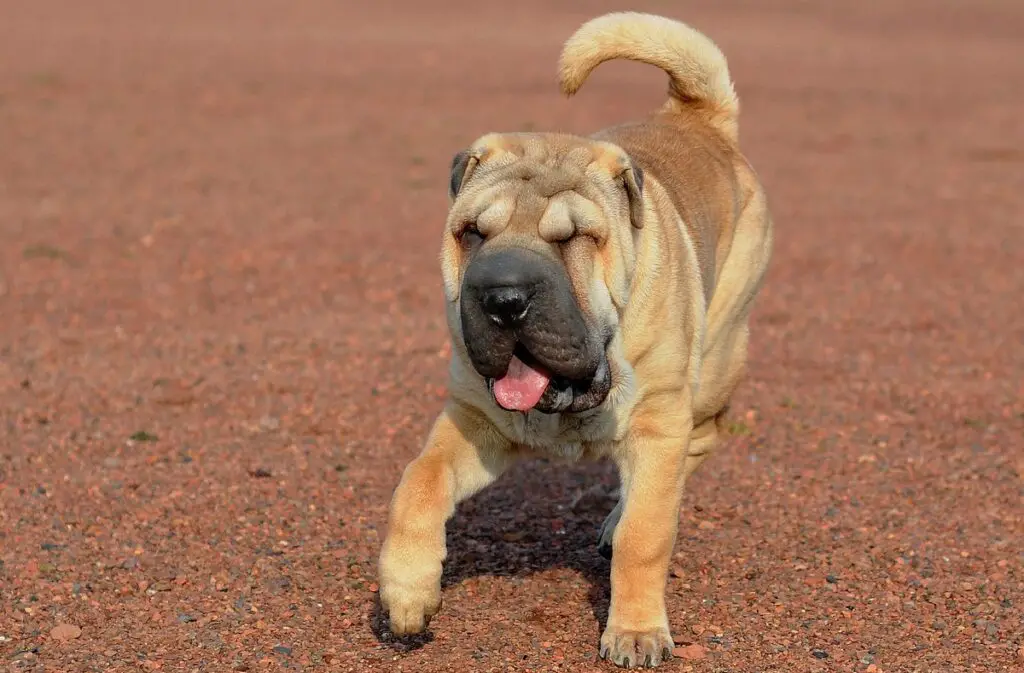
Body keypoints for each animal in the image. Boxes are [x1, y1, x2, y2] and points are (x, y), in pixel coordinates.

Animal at [380, 9, 770, 667]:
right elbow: (419, 481)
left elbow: (647, 534)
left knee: (692, 449)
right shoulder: (472, 420)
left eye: (575, 239)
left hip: (714, 362)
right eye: (471, 233)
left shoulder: (658, 422)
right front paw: (408, 590)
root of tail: (696, 118)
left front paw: (636, 631)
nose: (504, 297)